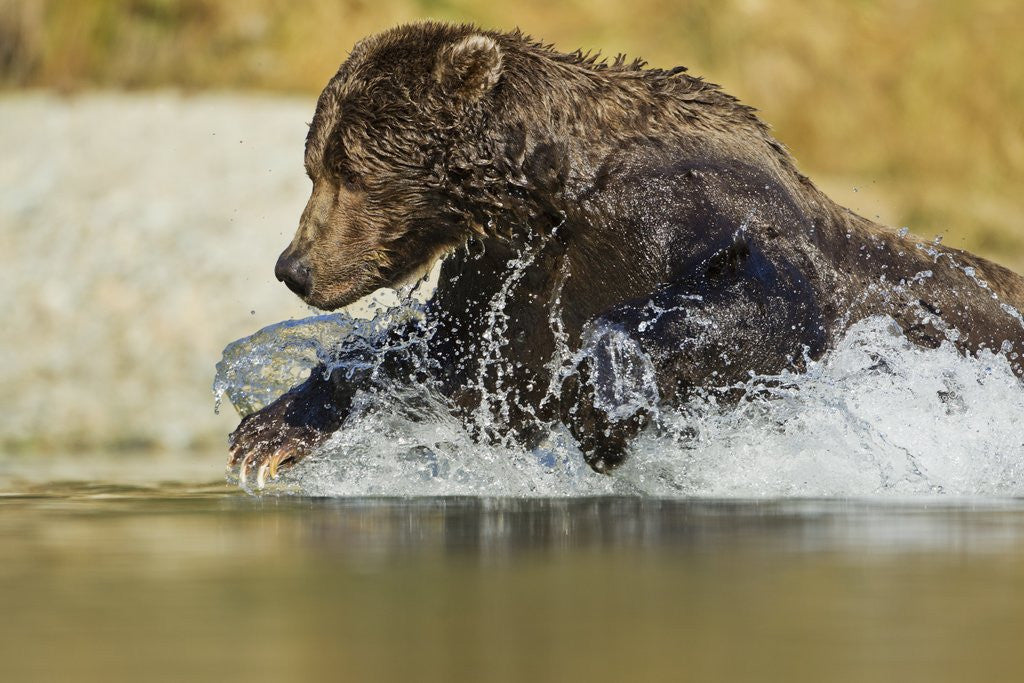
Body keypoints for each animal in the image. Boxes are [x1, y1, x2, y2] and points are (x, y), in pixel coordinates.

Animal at [228, 21, 1024, 487]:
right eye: (315, 164)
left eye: (349, 171)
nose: (294, 268)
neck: (551, 195)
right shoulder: (504, 270)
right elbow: (440, 346)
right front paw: (269, 430)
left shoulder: (694, 207)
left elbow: (768, 303)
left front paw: (602, 404)